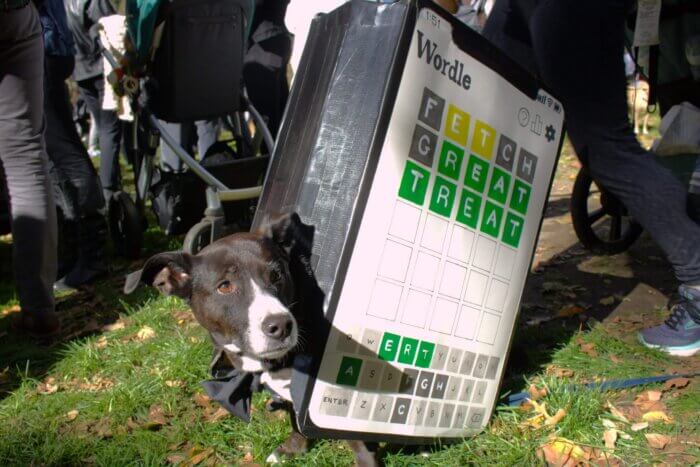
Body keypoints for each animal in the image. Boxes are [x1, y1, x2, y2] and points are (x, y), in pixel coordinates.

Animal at [123, 213, 380, 467]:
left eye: (277, 275)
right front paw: (293, 449)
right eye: (225, 286)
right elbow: (295, 418)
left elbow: (356, 440)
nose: (281, 326)